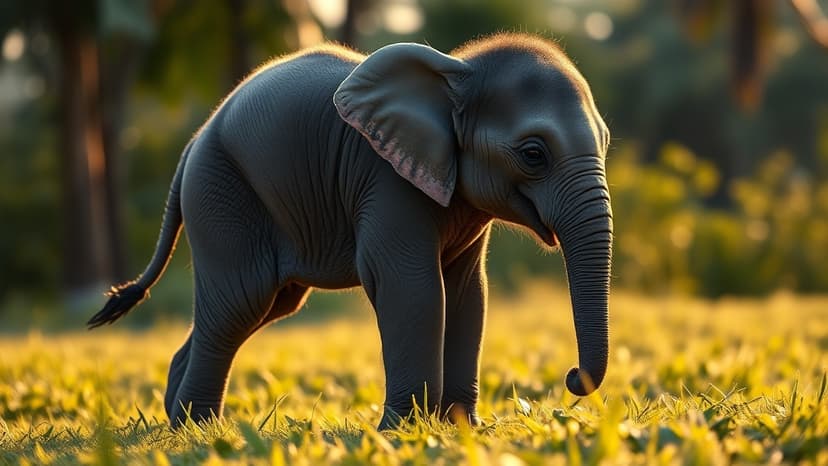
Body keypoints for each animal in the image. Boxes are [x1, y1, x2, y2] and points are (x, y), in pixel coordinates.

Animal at [88, 32, 613, 430]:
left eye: (606, 142)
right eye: (533, 154)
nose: (571, 377)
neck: (455, 71)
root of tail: (194, 140)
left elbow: (468, 294)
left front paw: (461, 428)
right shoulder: (388, 184)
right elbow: (414, 290)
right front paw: (404, 432)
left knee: (265, 306)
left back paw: (177, 416)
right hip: (222, 193)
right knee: (241, 302)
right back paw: (197, 428)